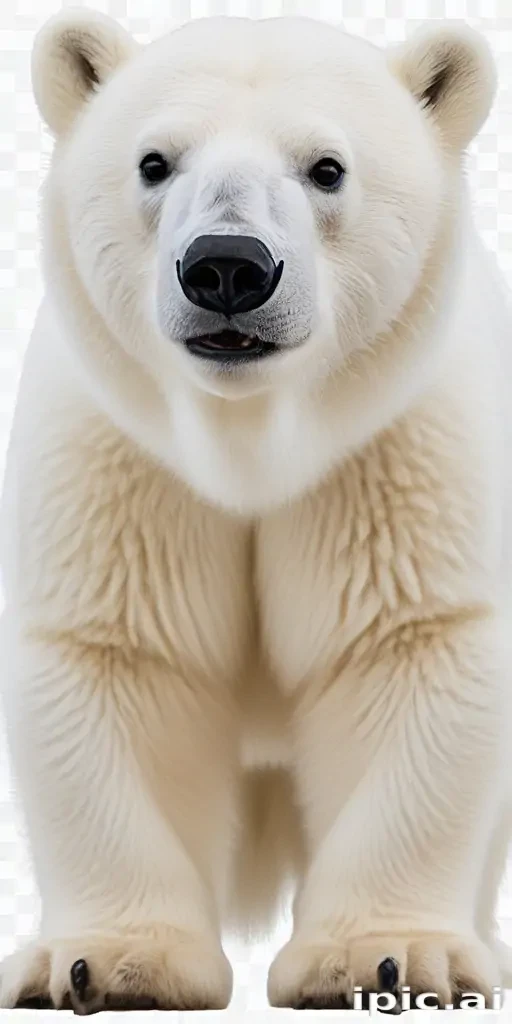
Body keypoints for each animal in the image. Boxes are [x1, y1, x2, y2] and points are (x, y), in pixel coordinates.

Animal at [0, 4, 511, 1013]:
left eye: (327, 167)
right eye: (155, 161)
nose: (228, 267)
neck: (249, 444)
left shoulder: (396, 454)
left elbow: (406, 645)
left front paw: (391, 958)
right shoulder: (124, 466)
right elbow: (124, 657)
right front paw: (101, 964)